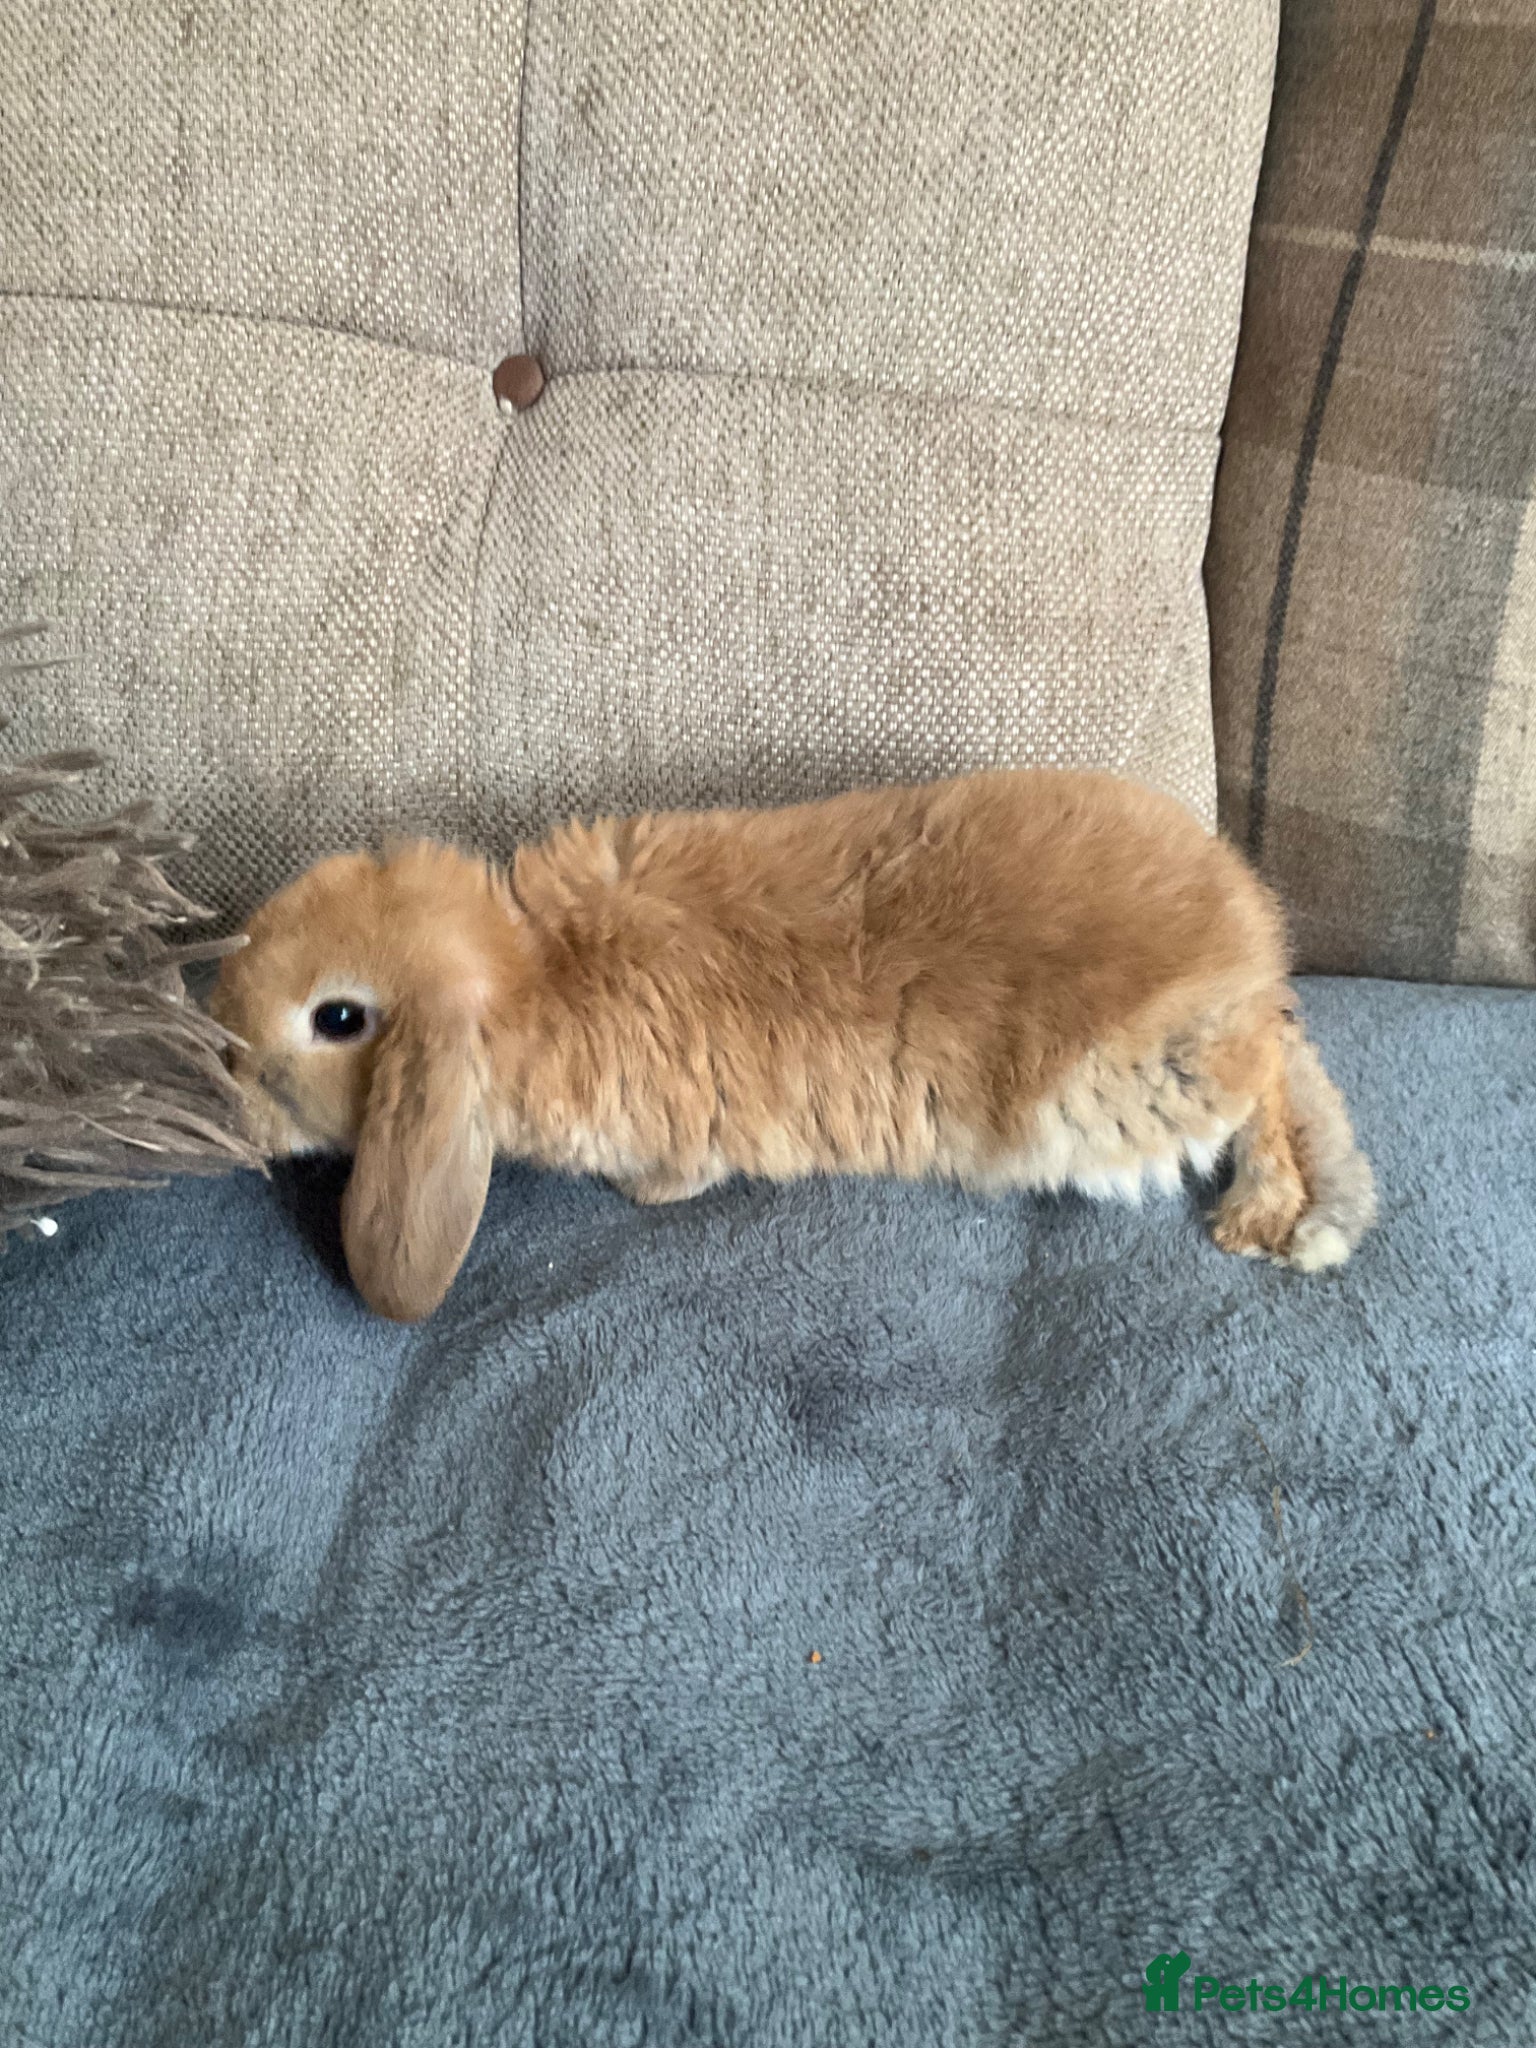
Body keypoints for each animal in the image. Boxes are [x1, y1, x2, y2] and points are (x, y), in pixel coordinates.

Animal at [210, 770, 1376, 1321]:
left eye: (338, 1018)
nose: (218, 1067)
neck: (528, 976)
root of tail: (1250, 943)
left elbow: (671, 1177)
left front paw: (641, 1197)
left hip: (1122, 1086)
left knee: (1265, 1078)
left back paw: (1270, 1213)